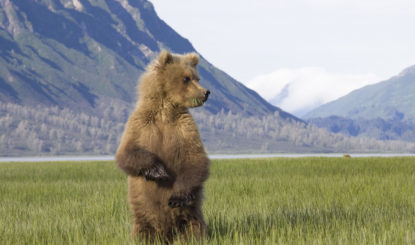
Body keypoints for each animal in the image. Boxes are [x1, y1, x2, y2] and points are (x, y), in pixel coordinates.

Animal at [115, 50, 211, 243]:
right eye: (186, 78)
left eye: (197, 77)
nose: (205, 92)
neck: (165, 111)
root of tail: (166, 234)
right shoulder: (141, 123)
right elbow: (127, 151)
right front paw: (158, 170)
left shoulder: (185, 128)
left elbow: (195, 158)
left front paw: (178, 197)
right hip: (143, 214)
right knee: (143, 229)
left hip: (191, 216)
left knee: (194, 227)